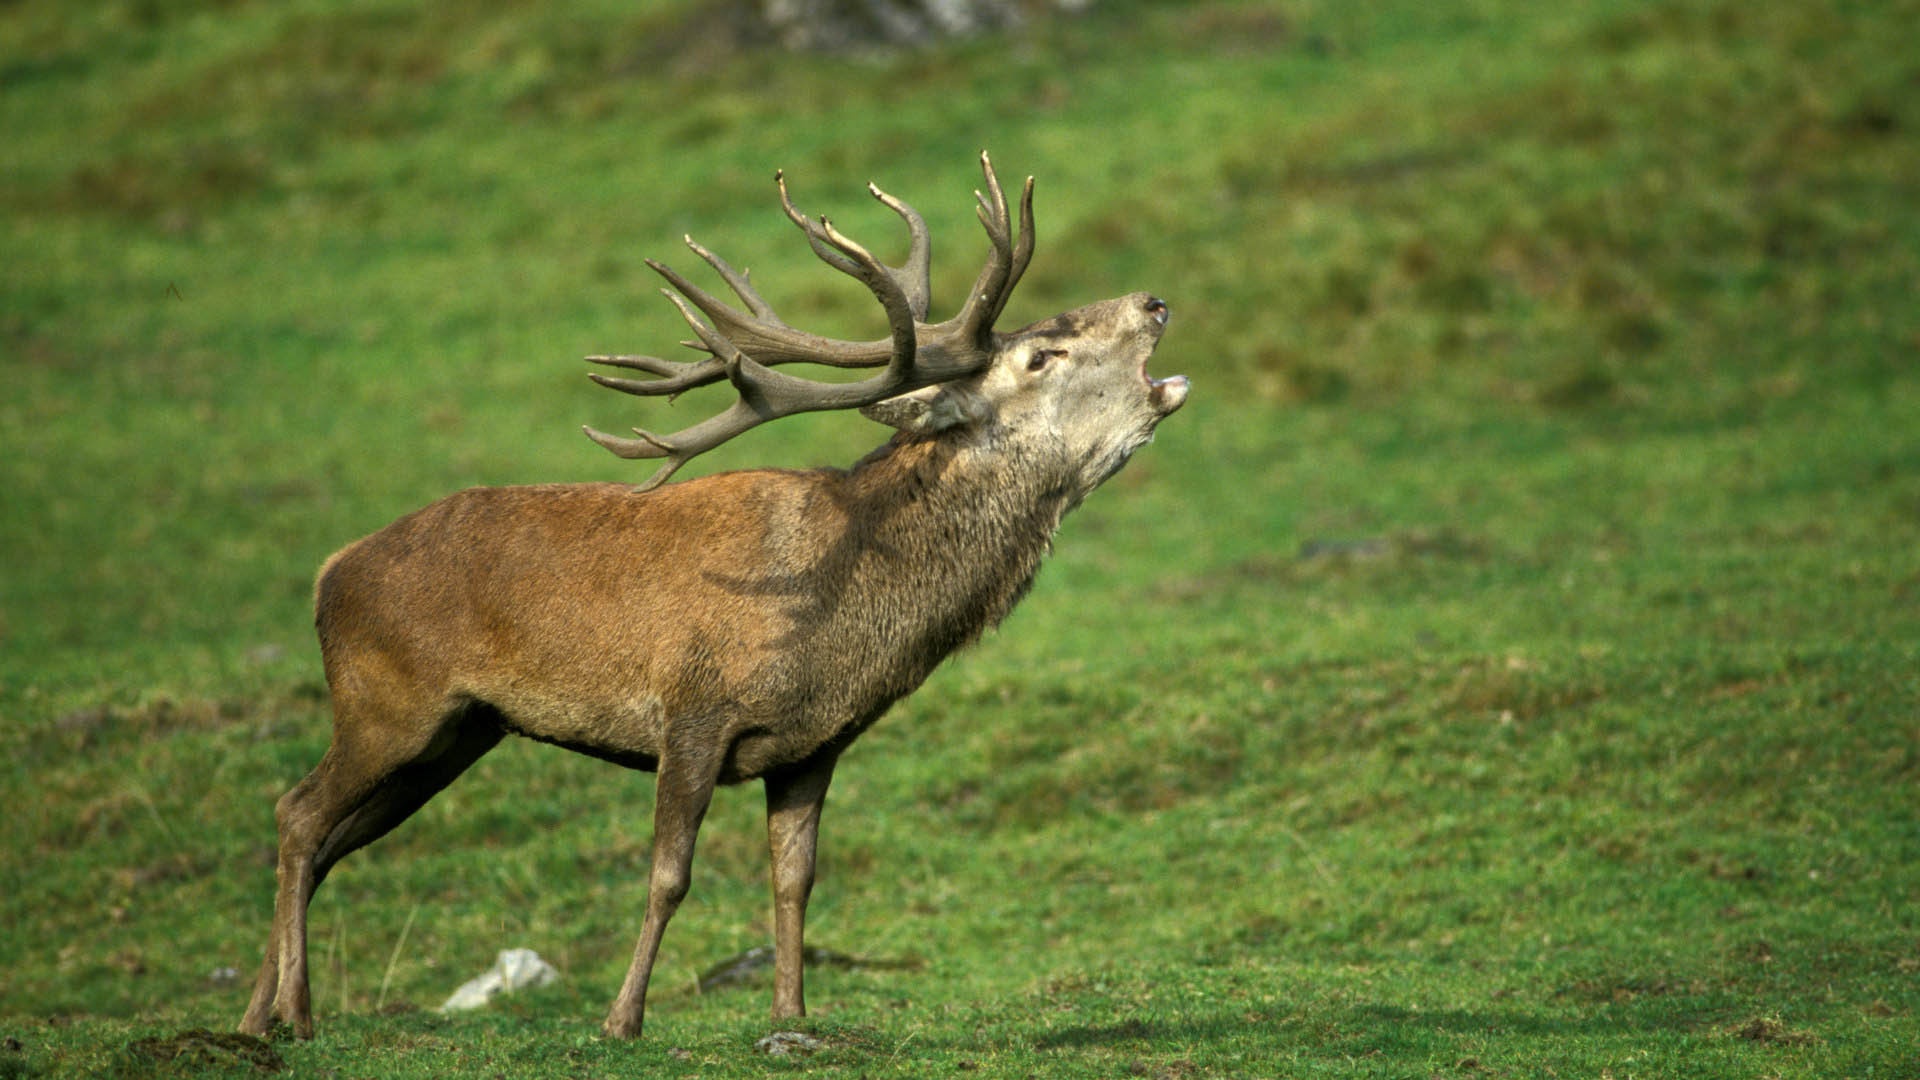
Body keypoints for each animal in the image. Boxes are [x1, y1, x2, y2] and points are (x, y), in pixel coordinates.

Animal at [240, 153, 1182, 1037]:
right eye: (1040, 355)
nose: (1154, 301)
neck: (846, 619)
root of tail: (329, 573)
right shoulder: (692, 710)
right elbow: (669, 875)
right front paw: (623, 1019)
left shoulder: (814, 745)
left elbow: (795, 880)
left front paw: (791, 1015)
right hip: (388, 703)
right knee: (297, 815)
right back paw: (297, 1013)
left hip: (457, 733)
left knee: (327, 840)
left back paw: (259, 1015)